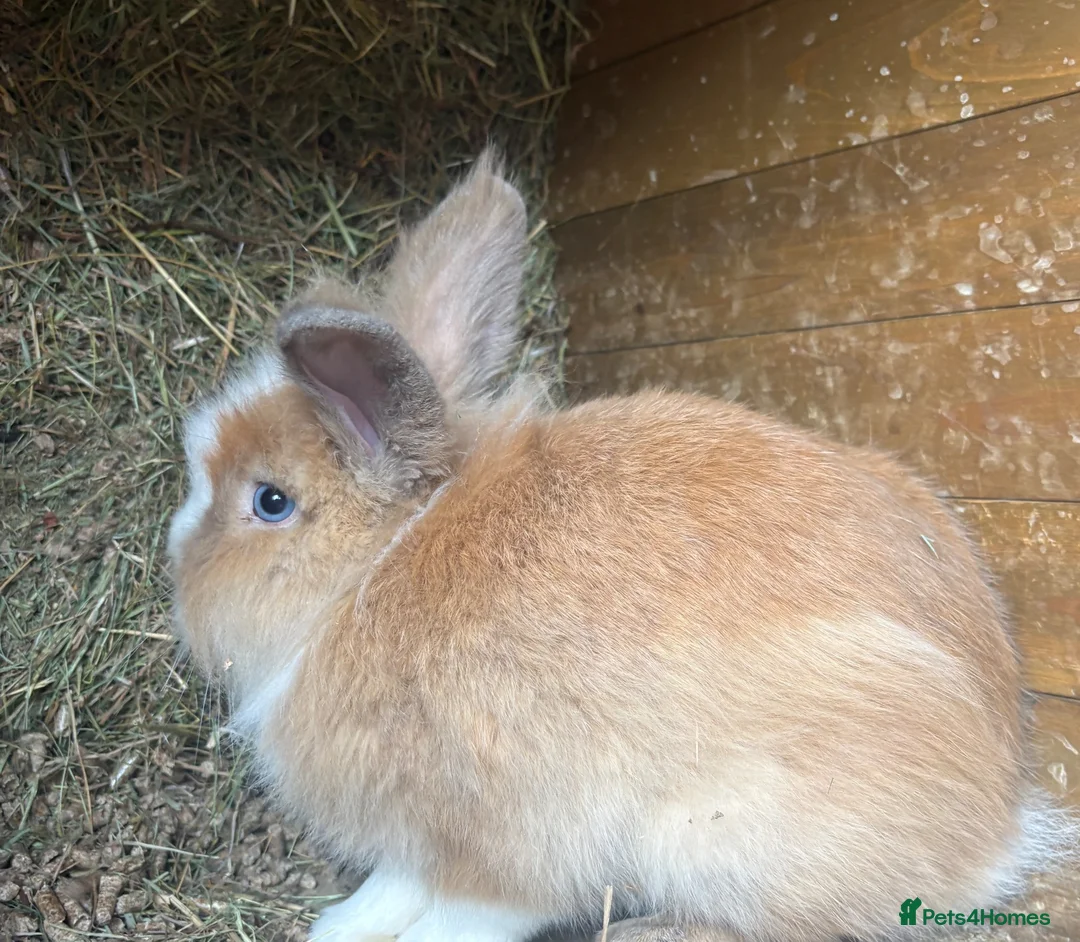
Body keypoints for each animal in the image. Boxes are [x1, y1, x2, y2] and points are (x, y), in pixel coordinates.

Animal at [166, 149, 1078, 942]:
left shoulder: (511, 843)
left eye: (269, 502)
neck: (379, 565)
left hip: (715, 837)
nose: (177, 576)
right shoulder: (417, 840)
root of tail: (998, 833)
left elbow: (467, 915)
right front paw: (338, 927)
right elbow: (394, 885)